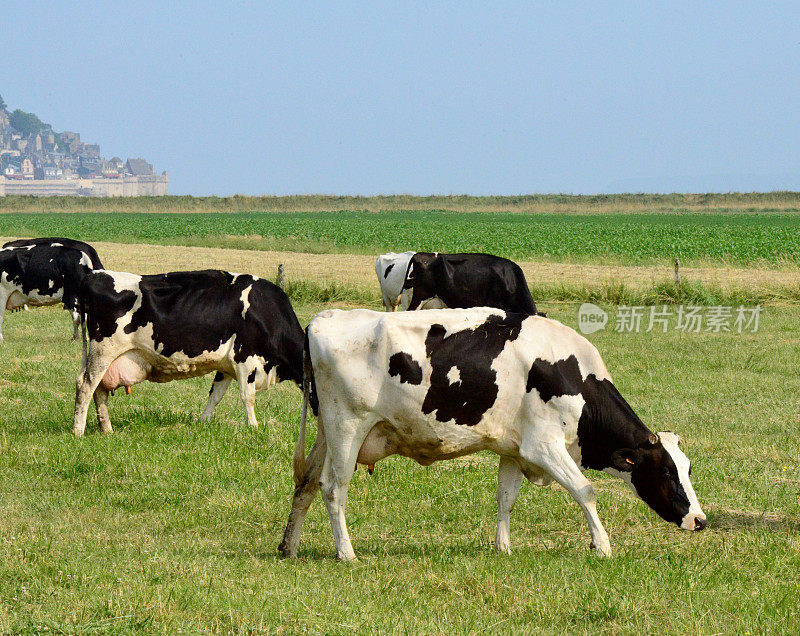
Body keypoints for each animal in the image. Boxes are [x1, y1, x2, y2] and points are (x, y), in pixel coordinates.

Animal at [74, 268, 312, 438]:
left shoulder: (226, 366)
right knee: (86, 385)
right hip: (103, 351)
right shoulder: (244, 359)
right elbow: (248, 396)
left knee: (99, 389)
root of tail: (93, 275)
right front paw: (253, 426)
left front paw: (203, 421)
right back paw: (78, 431)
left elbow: (215, 395)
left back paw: (107, 429)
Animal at [278, 308, 704, 560]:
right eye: (666, 472)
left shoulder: (515, 450)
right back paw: (346, 553)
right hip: (347, 428)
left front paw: (503, 547)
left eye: (687, 468)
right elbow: (585, 490)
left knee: (306, 484)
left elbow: (506, 498)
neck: (572, 375)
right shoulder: (544, 445)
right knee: (334, 488)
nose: (700, 520)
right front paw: (601, 545)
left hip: (327, 433)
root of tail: (323, 319)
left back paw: (289, 548)